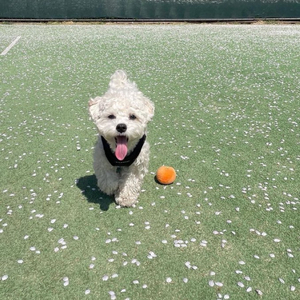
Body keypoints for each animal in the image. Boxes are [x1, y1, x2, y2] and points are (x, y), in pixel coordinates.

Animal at [88, 70, 155, 206]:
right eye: (111, 116)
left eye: (133, 116)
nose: (121, 126)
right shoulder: (101, 157)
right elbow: (107, 177)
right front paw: (112, 187)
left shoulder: (137, 164)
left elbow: (131, 181)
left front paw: (125, 197)